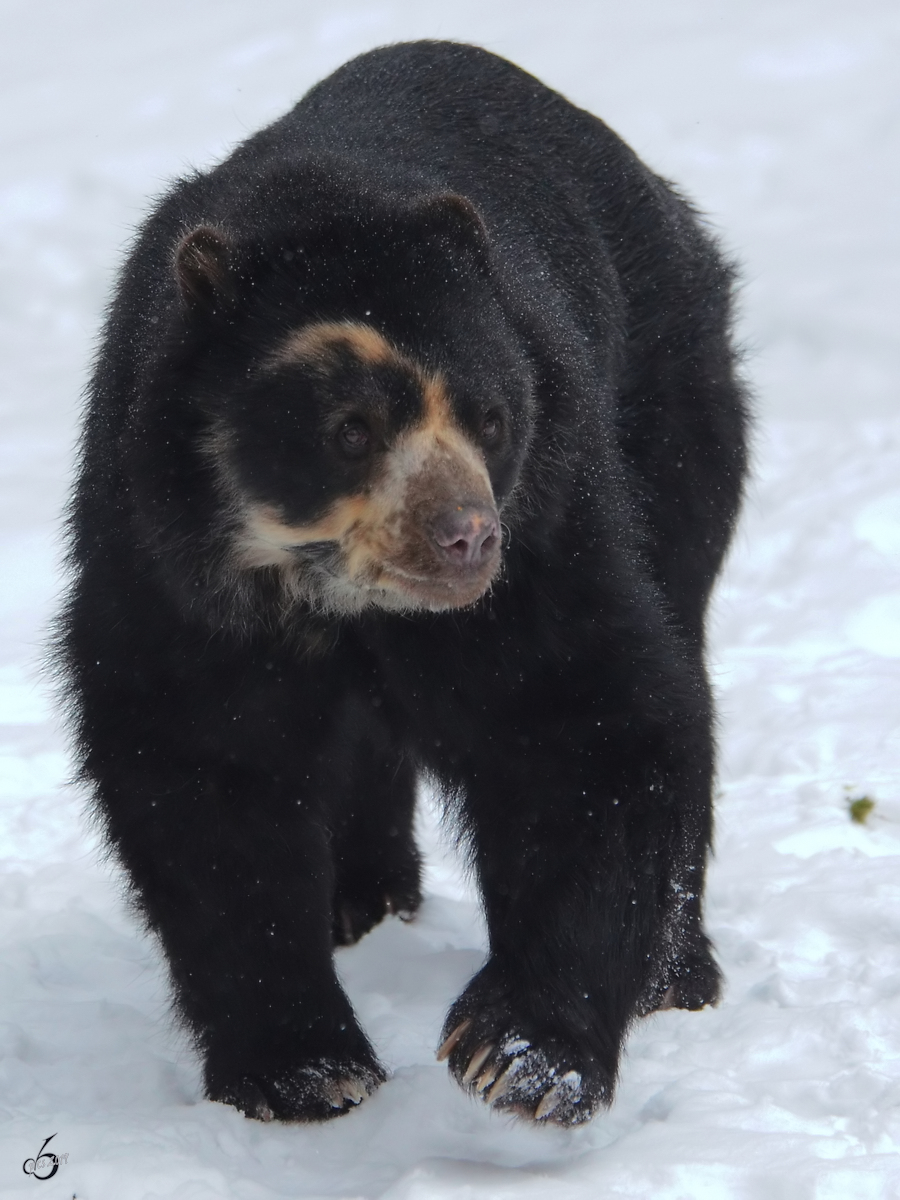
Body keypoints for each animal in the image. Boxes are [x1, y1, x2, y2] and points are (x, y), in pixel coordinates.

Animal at [52, 39, 748, 1123]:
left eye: (493, 419)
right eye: (350, 429)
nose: (466, 538)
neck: (343, 598)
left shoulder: (549, 526)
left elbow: (586, 720)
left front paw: (516, 1053)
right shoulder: (161, 553)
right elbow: (205, 772)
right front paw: (305, 1071)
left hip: (672, 423)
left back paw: (678, 973)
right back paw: (362, 898)